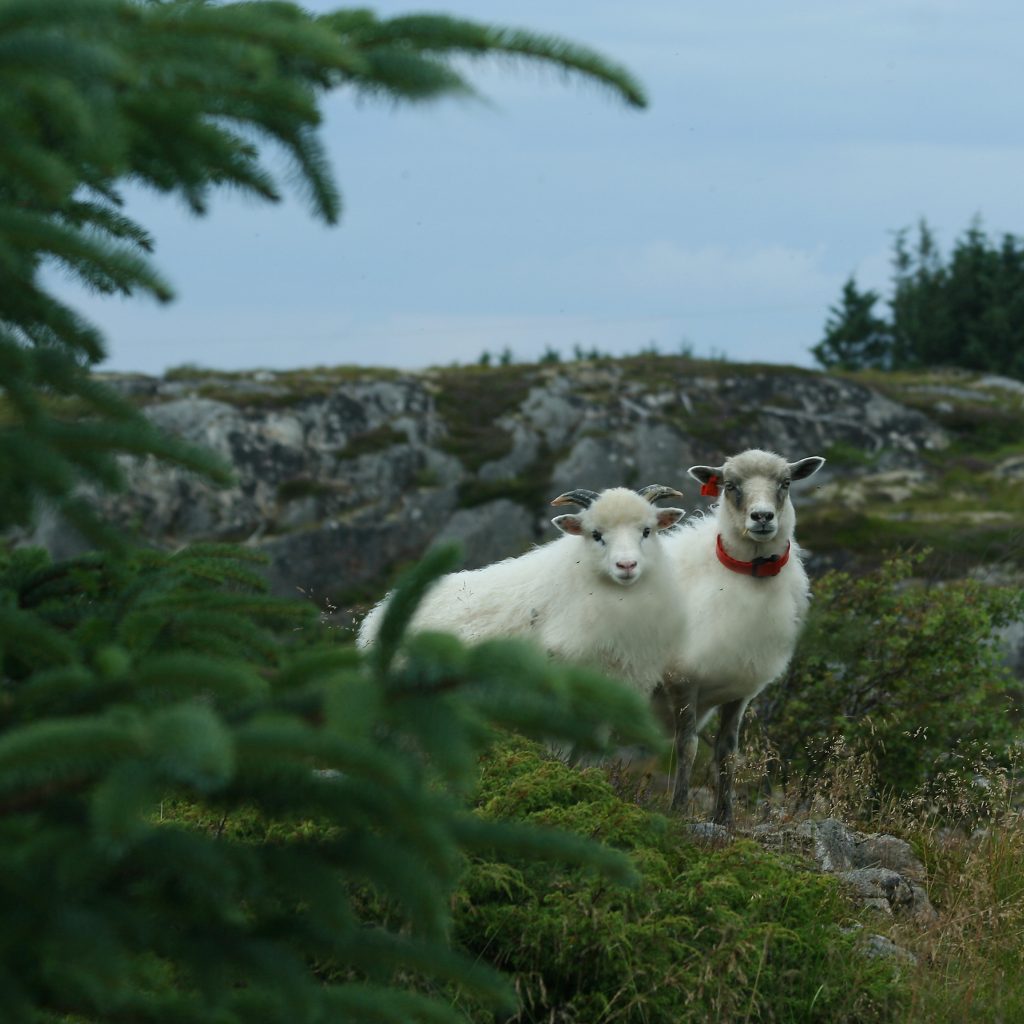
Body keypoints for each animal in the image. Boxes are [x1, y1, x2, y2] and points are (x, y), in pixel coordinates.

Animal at [663, 448, 823, 823]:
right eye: (730, 485)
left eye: (786, 482)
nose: (762, 517)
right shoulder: (682, 678)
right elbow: (687, 746)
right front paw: (678, 810)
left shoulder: (739, 690)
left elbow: (727, 753)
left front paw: (724, 817)